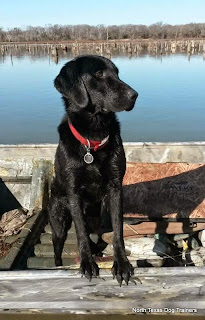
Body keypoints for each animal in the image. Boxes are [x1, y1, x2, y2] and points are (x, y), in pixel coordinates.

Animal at [48, 54, 138, 284]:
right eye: (98, 73)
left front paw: (121, 264)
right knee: (58, 246)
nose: (134, 95)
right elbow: (80, 232)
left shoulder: (115, 188)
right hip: (59, 221)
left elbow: (118, 231)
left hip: (97, 215)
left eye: (117, 73)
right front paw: (87, 263)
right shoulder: (73, 193)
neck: (93, 140)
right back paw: (60, 265)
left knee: (95, 233)